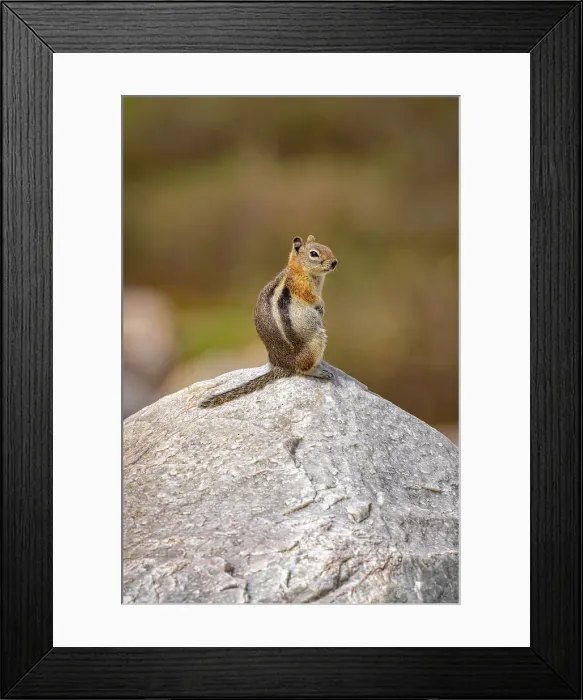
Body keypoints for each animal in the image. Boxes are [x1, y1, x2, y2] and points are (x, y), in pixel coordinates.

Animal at [200, 235, 338, 408]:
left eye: (328, 248)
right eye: (314, 253)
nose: (335, 262)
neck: (298, 269)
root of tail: (282, 366)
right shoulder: (302, 287)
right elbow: (313, 299)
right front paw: (321, 307)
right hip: (316, 341)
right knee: (303, 369)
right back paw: (319, 372)